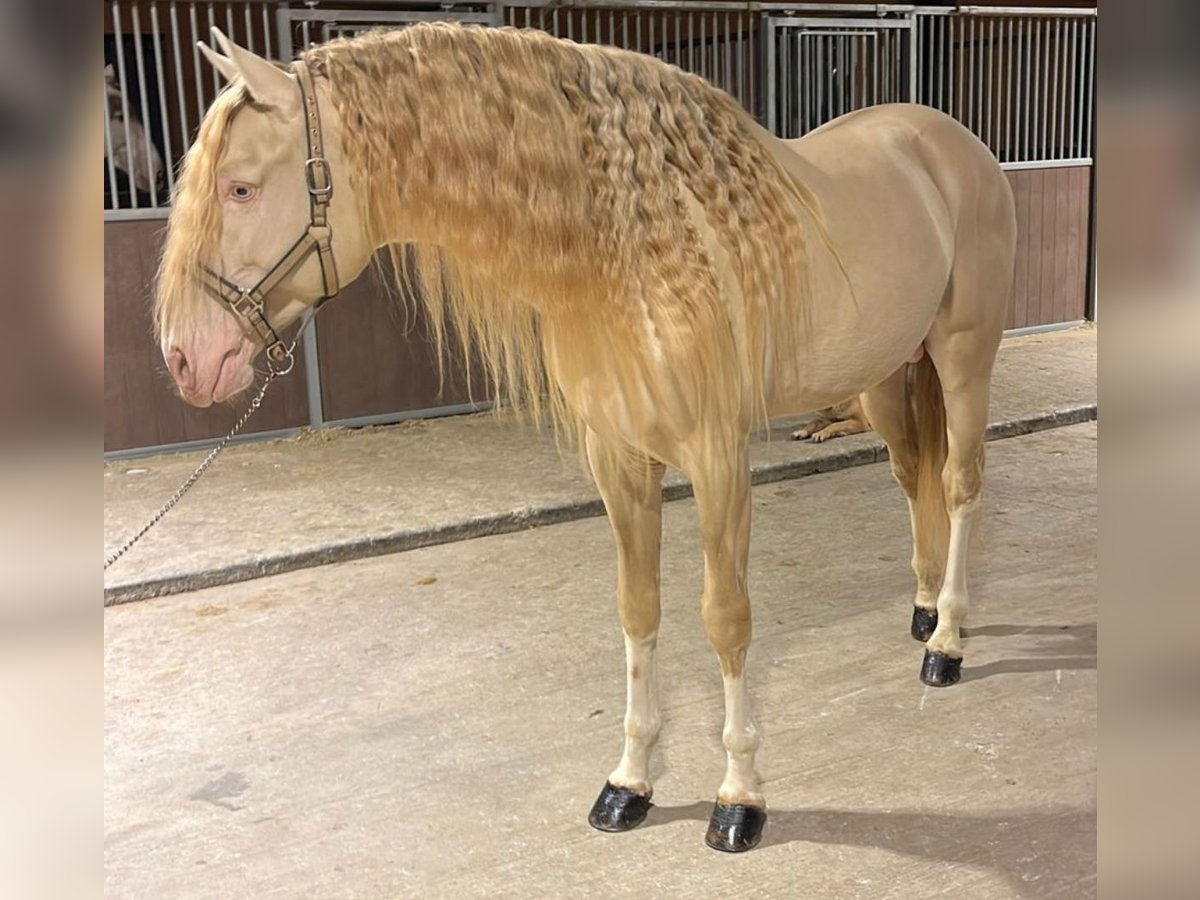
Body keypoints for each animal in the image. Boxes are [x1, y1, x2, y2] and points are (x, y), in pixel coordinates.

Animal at [154, 21, 1017, 854]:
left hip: (964, 356)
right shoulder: (618, 460)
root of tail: (953, 143)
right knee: (912, 478)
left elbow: (725, 617)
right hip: (886, 380)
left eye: (240, 187)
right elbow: (637, 611)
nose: (187, 359)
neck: (634, 247)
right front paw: (629, 785)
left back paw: (946, 644)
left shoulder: (718, 459)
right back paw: (924, 610)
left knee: (960, 485)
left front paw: (739, 799)